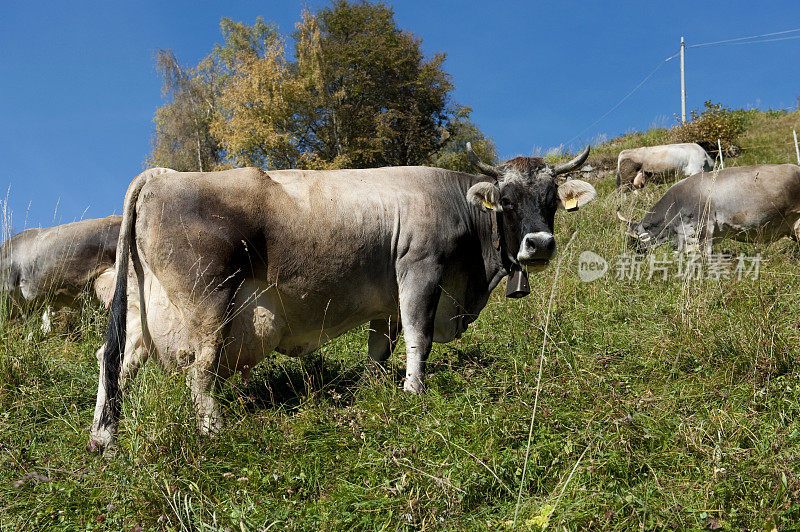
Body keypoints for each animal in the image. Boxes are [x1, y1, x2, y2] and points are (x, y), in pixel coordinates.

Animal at [90, 145, 596, 448]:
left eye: (551, 199)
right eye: (506, 201)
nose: (539, 244)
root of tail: (162, 175)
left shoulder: (387, 301)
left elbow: (379, 348)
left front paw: (376, 388)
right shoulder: (420, 271)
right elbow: (418, 338)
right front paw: (414, 392)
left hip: (141, 311)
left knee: (115, 360)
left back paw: (104, 436)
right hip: (208, 302)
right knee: (201, 370)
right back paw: (215, 431)